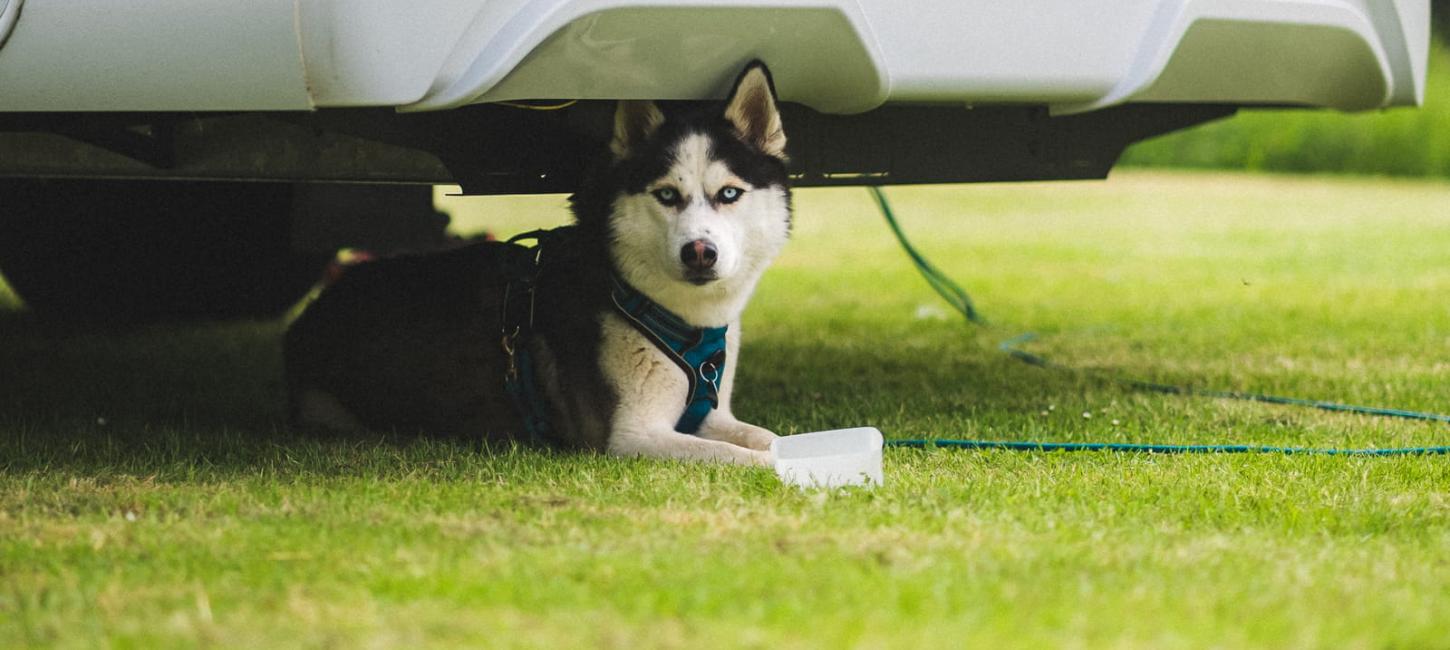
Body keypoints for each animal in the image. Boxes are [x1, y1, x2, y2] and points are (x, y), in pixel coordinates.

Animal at [285, 60, 794, 464]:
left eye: (729, 194)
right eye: (667, 195)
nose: (700, 252)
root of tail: (316, 310)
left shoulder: (709, 415)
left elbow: (766, 437)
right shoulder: (628, 435)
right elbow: (747, 456)